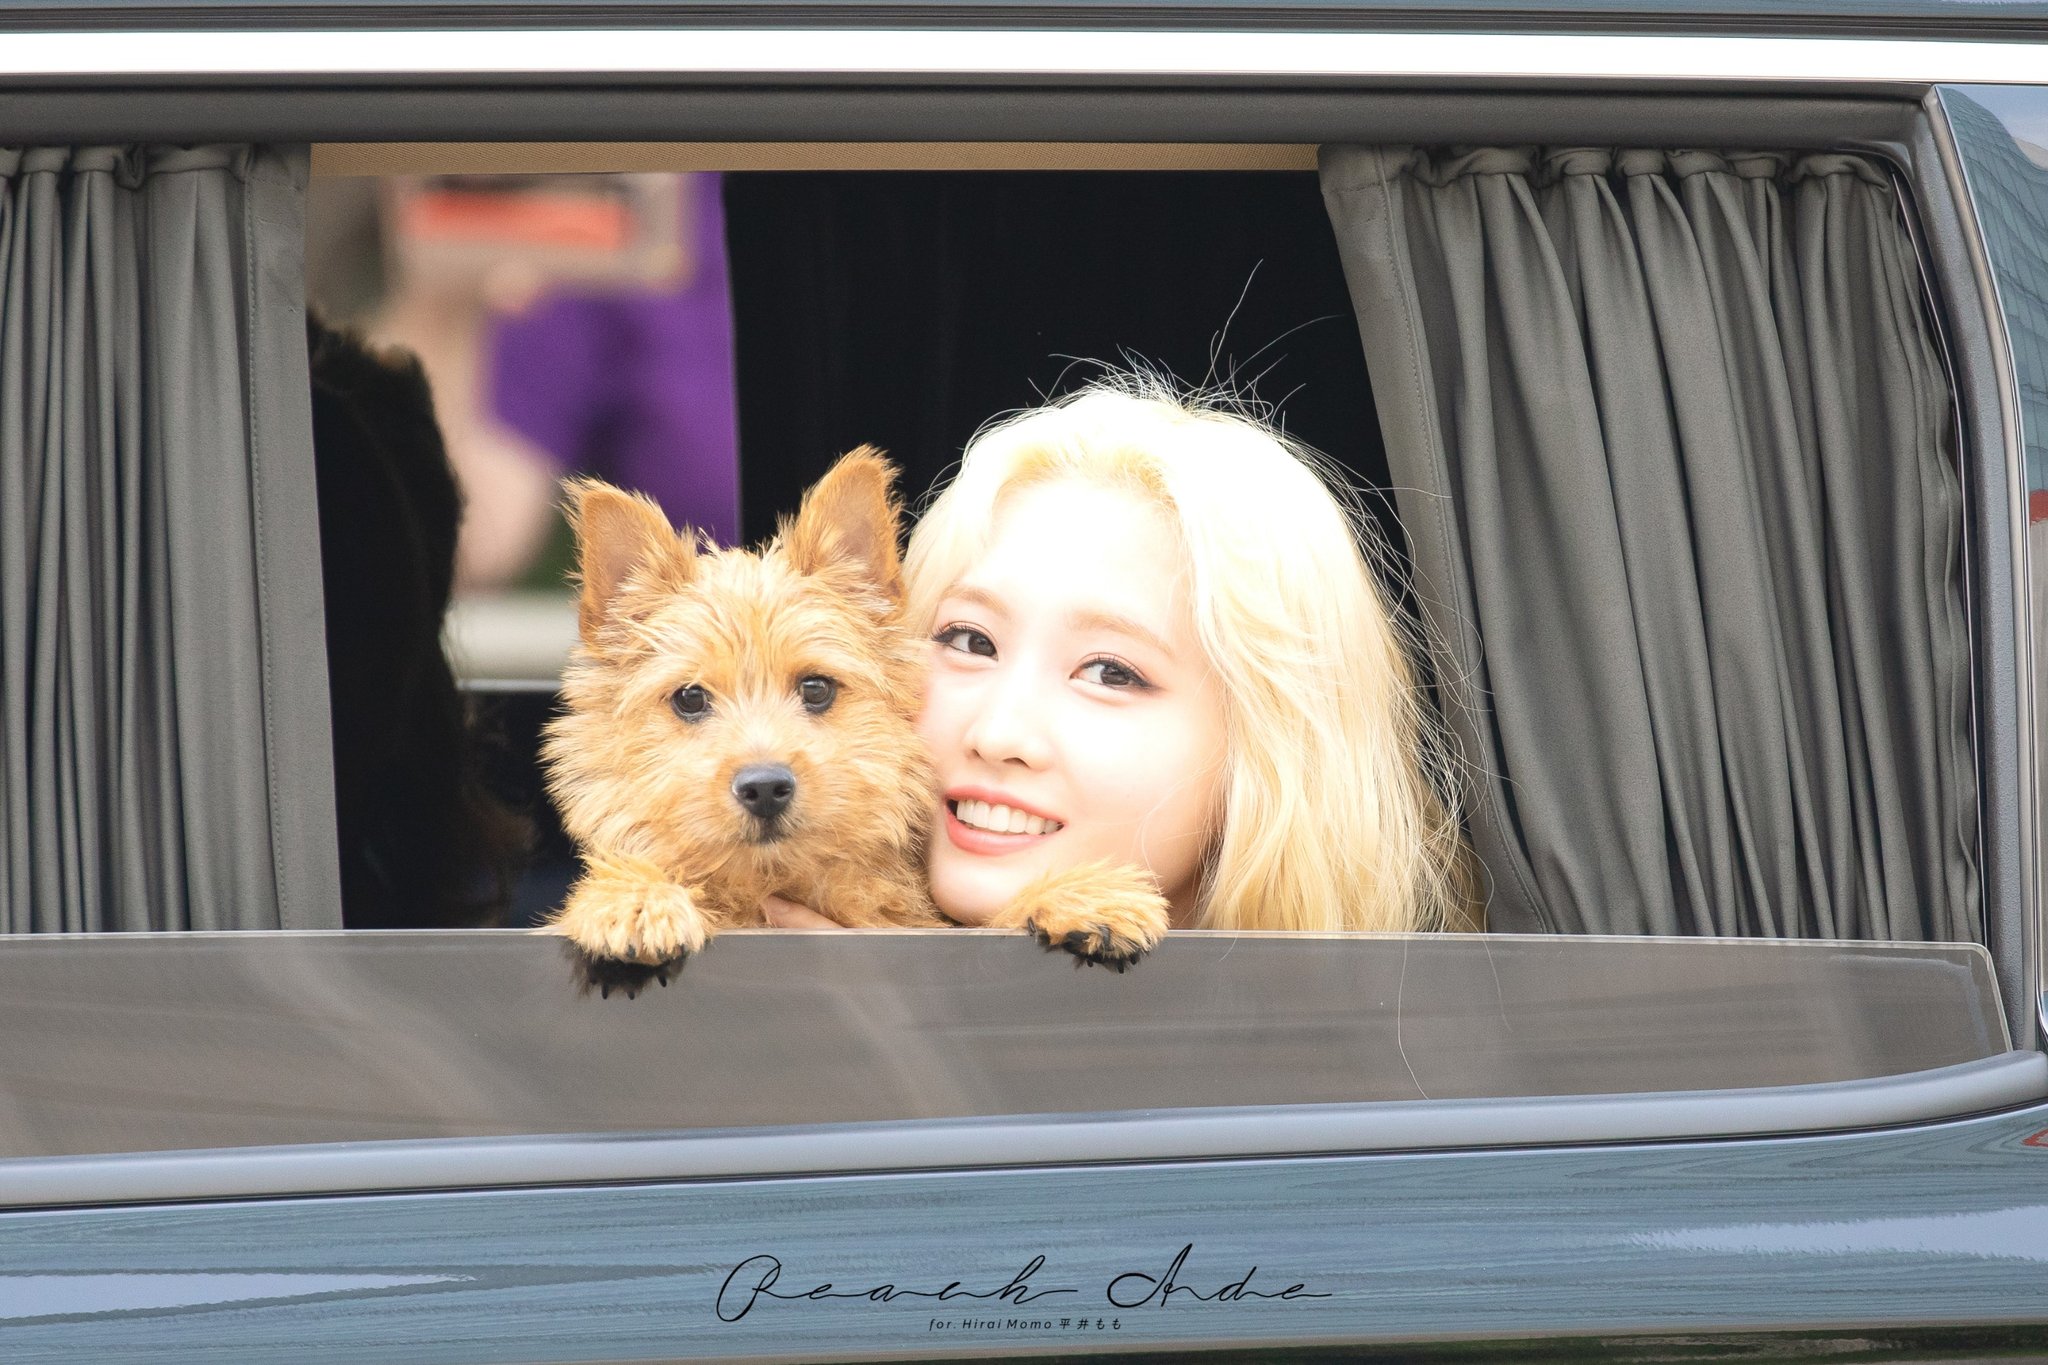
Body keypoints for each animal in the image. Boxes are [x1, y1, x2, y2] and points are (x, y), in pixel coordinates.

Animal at [541, 450, 1167, 994]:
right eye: (690, 699)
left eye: (816, 688)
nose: (764, 786)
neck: (774, 885)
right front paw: (634, 897)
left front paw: (1079, 895)